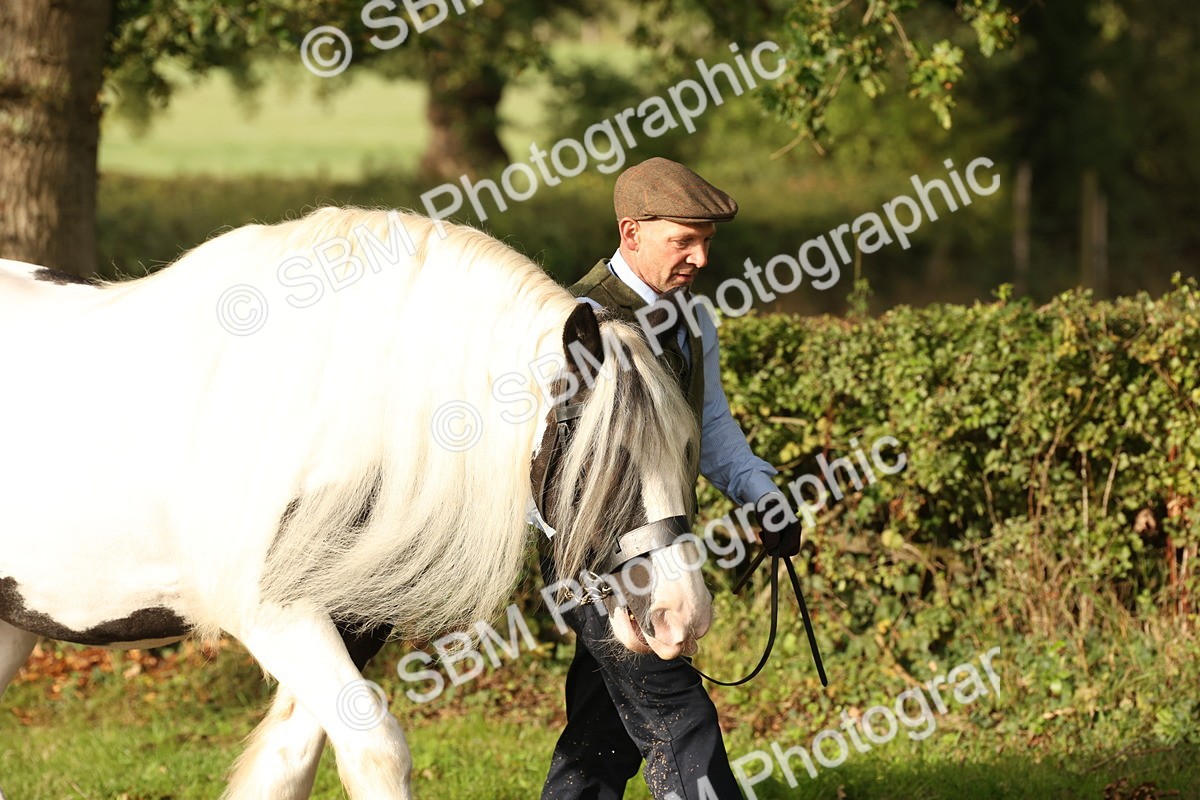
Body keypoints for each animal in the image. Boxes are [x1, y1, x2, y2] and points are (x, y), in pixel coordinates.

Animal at [0, 207, 711, 799]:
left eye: (686, 448)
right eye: (603, 458)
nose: (681, 614)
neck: (328, 408)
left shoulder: (350, 621)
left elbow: (288, 764)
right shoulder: (275, 617)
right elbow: (377, 754)